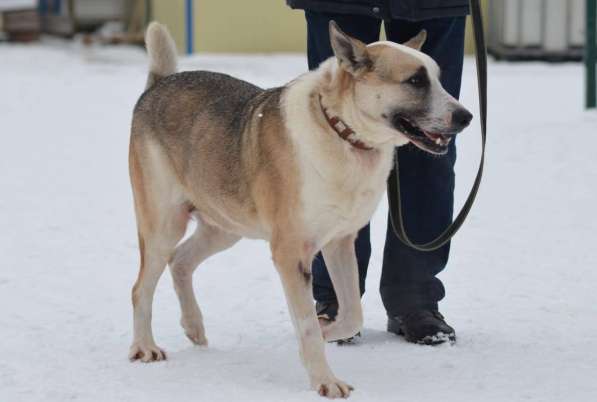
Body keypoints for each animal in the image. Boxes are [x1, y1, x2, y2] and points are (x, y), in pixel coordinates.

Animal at [127, 20, 470, 398]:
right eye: (415, 81)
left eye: (438, 78)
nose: (466, 117)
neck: (343, 133)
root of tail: (160, 83)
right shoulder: (291, 252)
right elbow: (306, 324)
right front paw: (325, 380)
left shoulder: (340, 242)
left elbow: (351, 312)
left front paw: (325, 329)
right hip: (164, 224)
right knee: (141, 288)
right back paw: (145, 347)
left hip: (225, 227)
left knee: (180, 261)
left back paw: (194, 326)